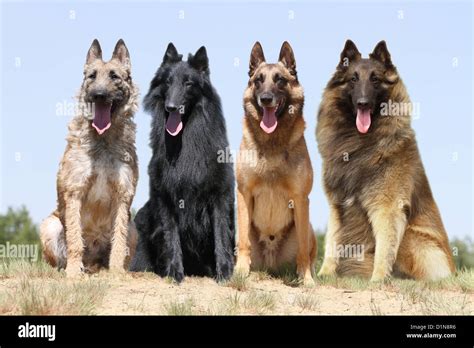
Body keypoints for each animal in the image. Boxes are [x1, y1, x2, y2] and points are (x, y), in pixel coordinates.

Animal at [40, 38, 139, 278]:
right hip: (50, 225)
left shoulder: (123, 195)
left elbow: (119, 238)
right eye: (92, 76)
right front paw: (73, 272)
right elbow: (75, 238)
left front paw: (116, 271)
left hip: (134, 229)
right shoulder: (74, 192)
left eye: (114, 76)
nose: (99, 95)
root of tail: (93, 261)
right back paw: (72, 268)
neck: (102, 139)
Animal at [130, 43, 235, 282]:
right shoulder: (165, 195)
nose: (171, 107)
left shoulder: (219, 194)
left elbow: (221, 233)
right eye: (168, 82)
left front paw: (224, 271)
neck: (184, 140)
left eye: (188, 83)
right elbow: (171, 236)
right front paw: (174, 272)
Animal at [235, 41, 316, 286]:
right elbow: (244, 241)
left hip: (307, 227)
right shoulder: (244, 193)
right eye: (258, 80)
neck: (272, 142)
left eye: (280, 80)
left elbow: (302, 250)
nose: (266, 98)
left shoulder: (300, 199)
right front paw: (240, 271)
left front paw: (306, 279)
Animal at [316, 40, 454, 282]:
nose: (363, 103)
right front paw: (324, 274)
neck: (359, 141)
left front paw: (378, 279)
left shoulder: (387, 208)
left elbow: (384, 248)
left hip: (411, 234)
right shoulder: (336, 205)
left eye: (375, 79)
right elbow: (332, 242)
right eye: (353, 79)